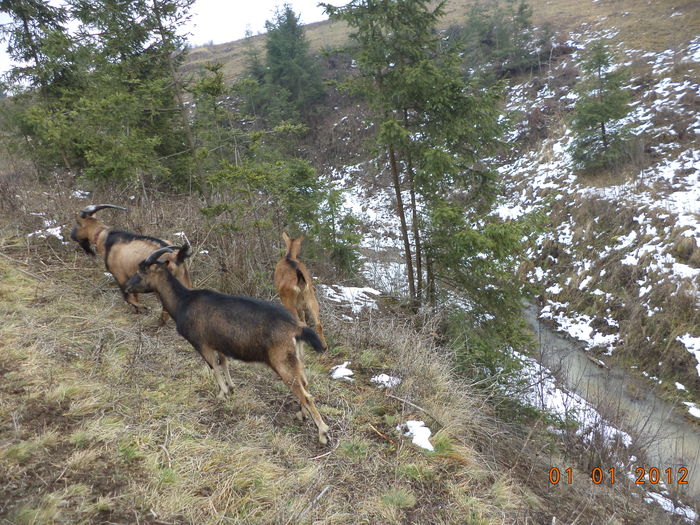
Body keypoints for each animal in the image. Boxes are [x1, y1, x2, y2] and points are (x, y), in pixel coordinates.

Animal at [124, 248, 330, 444]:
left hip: (282, 362)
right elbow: (224, 363)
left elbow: (213, 366)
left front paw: (221, 394)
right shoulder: (219, 344)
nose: (126, 286)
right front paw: (231, 388)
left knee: (305, 394)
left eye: (141, 271)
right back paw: (302, 414)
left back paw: (323, 433)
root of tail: (297, 328)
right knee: (305, 384)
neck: (183, 301)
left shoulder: (202, 343)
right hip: (296, 358)